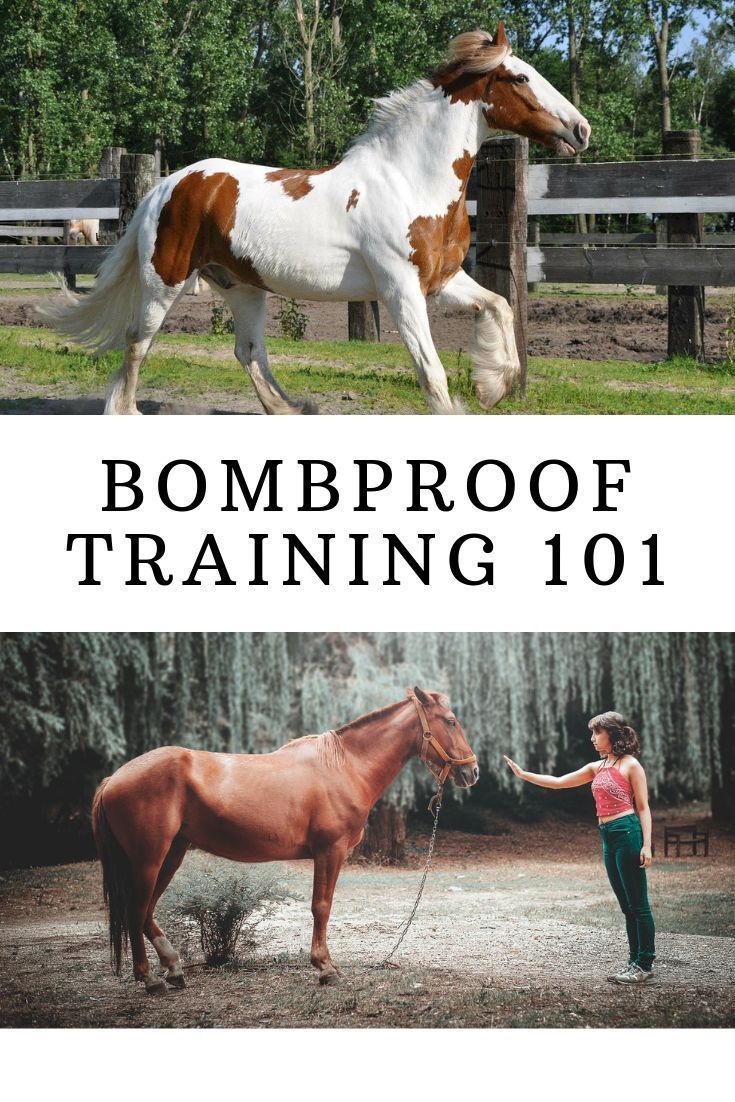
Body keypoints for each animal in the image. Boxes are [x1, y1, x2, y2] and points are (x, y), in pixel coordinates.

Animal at [41, 23, 590, 414]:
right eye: (520, 77)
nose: (581, 129)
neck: (410, 180)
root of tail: (167, 185)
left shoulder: (441, 279)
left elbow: (500, 304)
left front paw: (493, 385)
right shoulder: (399, 288)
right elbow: (431, 374)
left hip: (242, 286)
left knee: (249, 352)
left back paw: (292, 410)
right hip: (167, 279)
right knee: (138, 342)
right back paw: (129, 410)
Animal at [90, 687, 478, 991]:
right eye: (451, 721)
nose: (472, 772)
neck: (344, 766)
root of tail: (113, 778)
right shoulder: (330, 851)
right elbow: (322, 906)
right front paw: (325, 967)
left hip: (172, 854)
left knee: (146, 911)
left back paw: (173, 969)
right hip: (148, 859)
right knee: (136, 910)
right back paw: (150, 979)